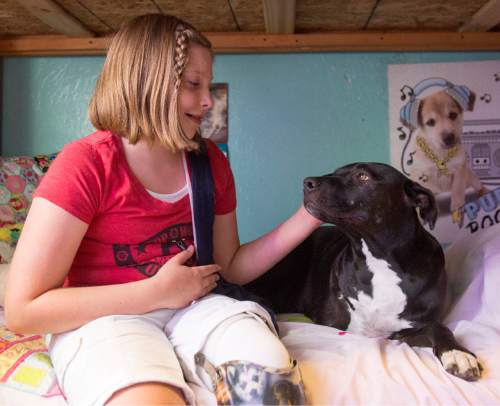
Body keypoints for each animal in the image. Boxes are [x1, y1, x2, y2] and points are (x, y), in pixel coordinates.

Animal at [246, 161, 480, 380]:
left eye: (362, 176)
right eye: (335, 172)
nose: (307, 182)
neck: (378, 260)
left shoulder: (405, 332)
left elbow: (437, 327)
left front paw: (457, 352)